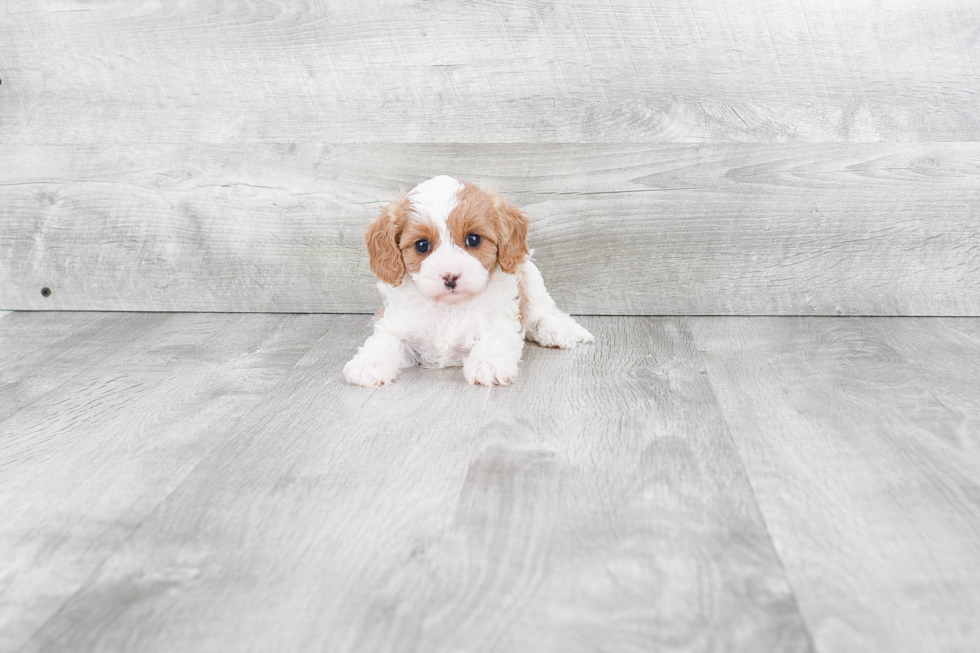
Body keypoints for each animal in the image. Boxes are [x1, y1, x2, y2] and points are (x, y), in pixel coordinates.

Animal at [340, 174, 592, 388]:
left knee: (542, 312)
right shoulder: (394, 324)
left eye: (473, 239)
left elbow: (493, 340)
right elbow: (384, 341)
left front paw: (488, 364)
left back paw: (558, 331)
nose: (450, 276)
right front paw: (369, 364)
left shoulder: (502, 321)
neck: (449, 307)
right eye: (422, 245)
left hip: (529, 274)